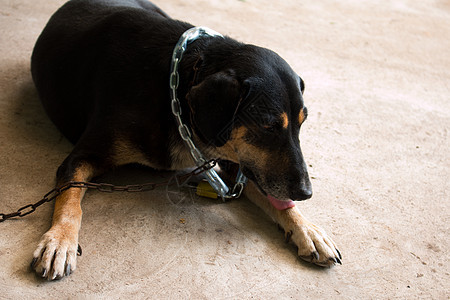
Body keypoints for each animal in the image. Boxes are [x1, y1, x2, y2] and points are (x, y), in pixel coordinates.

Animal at [29, 0, 340, 282]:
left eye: (301, 123)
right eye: (269, 126)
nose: (305, 193)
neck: (175, 95)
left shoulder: (237, 163)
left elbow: (271, 196)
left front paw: (308, 230)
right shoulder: (80, 157)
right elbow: (71, 198)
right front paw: (59, 241)